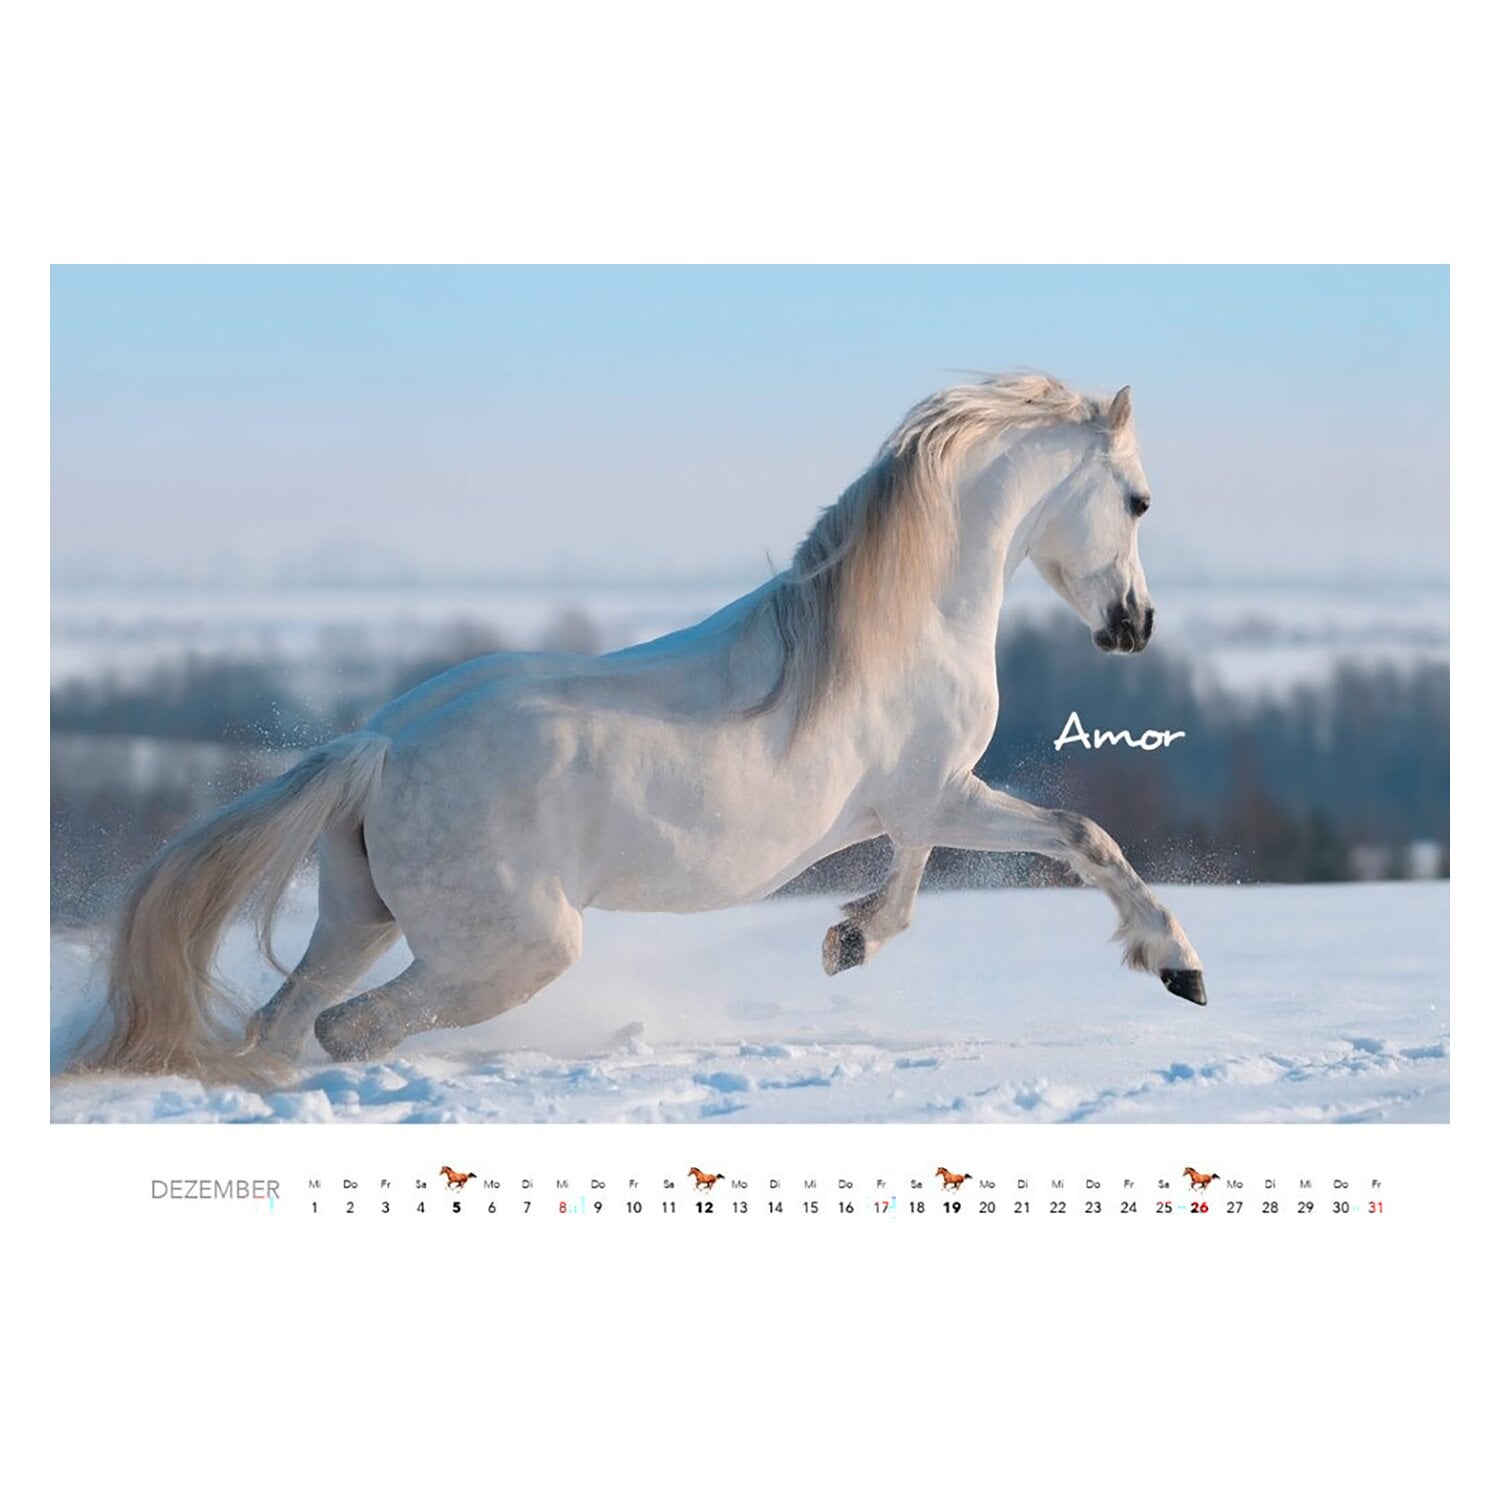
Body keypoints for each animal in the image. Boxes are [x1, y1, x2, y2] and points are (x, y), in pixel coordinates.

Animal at [81, 372, 1206, 1087]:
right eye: (1139, 502)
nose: (1137, 626)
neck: (902, 623)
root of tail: (380, 749)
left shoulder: (920, 802)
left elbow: (916, 873)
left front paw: (849, 940)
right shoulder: (941, 792)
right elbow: (1084, 838)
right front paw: (1178, 966)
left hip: (359, 917)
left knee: (286, 1020)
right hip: (514, 947)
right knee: (348, 1027)